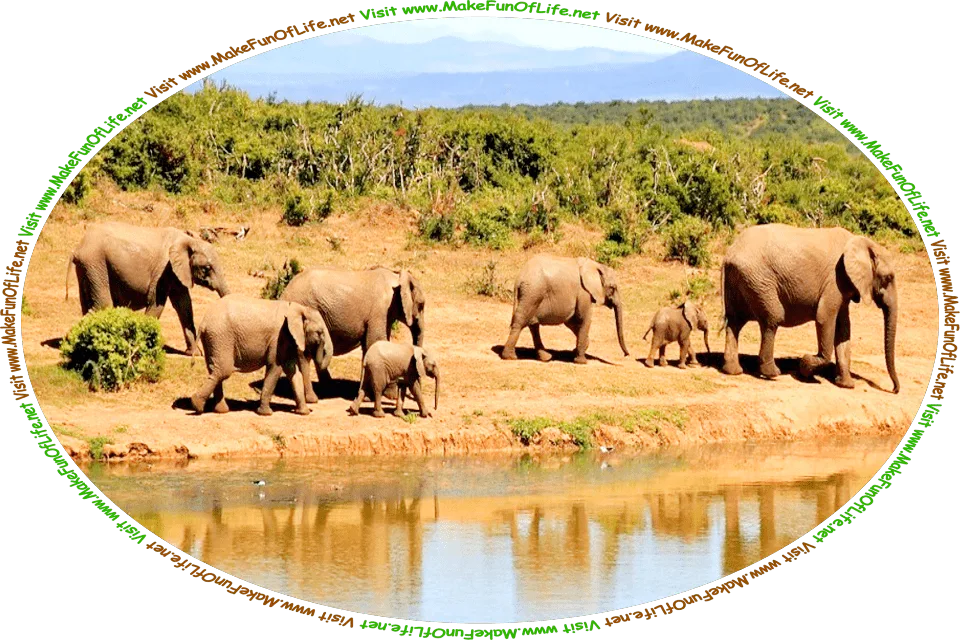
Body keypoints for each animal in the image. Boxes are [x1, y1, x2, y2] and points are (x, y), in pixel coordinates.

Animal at [67, 222, 230, 355]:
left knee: (88, 305)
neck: (189, 240)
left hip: (88, 268)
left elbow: (184, 306)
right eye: (207, 268)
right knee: (102, 305)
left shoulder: (177, 272)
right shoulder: (164, 270)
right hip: (95, 263)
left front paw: (194, 353)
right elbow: (157, 303)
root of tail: (77, 248)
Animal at [190, 295, 333, 416]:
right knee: (223, 370)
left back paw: (220, 410)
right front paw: (266, 413)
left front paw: (303, 412)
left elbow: (292, 371)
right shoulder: (279, 337)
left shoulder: (286, 339)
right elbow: (275, 367)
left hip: (214, 339)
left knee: (215, 370)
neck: (298, 308)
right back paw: (197, 405)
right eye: (319, 332)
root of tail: (203, 323)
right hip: (221, 337)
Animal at [500, 255, 629, 364]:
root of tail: (518, 279)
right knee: (521, 321)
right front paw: (581, 361)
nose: (626, 355)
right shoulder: (583, 292)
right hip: (532, 293)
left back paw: (546, 358)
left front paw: (576, 351)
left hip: (532, 294)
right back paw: (510, 357)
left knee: (533, 324)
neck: (596, 265)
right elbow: (584, 318)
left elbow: (571, 321)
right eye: (613, 288)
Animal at [720, 223, 899, 393]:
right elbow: (824, 318)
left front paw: (846, 385)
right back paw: (772, 373)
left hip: (742, 280)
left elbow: (843, 329)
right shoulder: (835, 280)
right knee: (772, 318)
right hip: (758, 280)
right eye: (888, 278)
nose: (894, 389)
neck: (863, 242)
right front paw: (804, 367)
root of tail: (729, 253)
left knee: (735, 321)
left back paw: (733, 371)